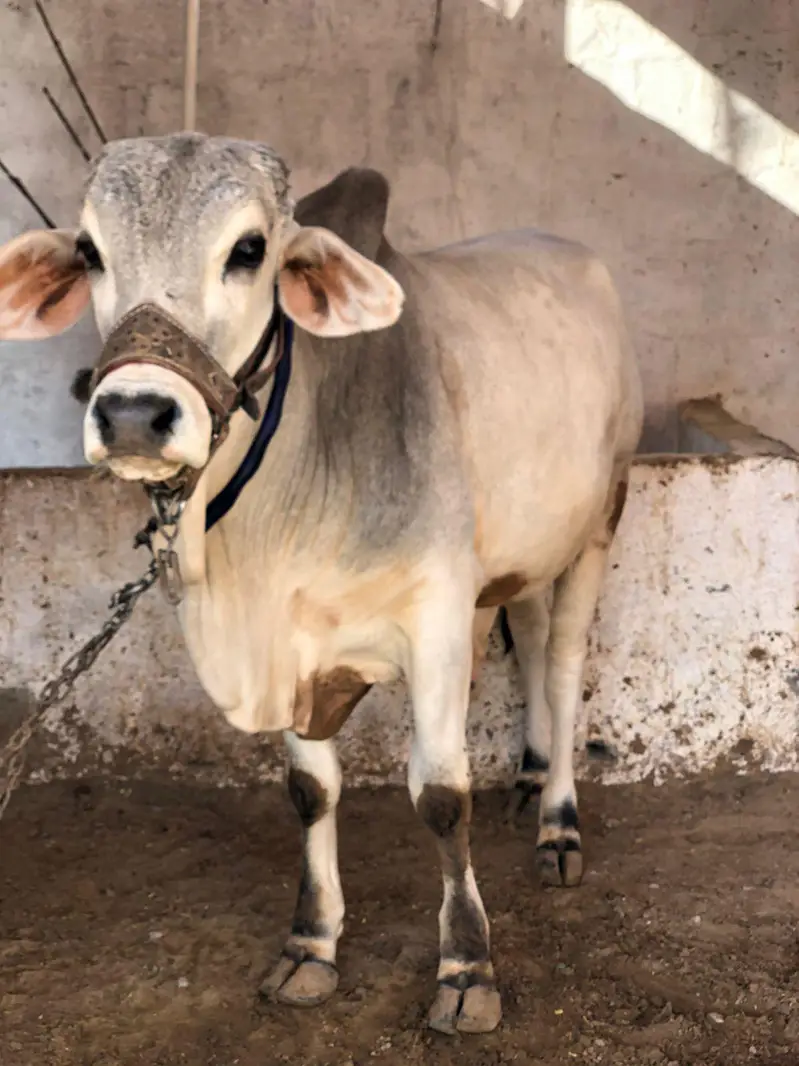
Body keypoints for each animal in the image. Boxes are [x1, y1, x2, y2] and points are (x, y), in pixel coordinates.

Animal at [0, 134, 643, 1035]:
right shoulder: (295, 643)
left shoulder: (436, 619)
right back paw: (526, 778)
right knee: (525, 635)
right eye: (90, 251)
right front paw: (311, 944)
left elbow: (440, 794)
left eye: (248, 250)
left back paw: (556, 826)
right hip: (518, 559)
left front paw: (467, 967)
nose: (131, 416)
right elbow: (310, 791)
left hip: (598, 522)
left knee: (559, 666)